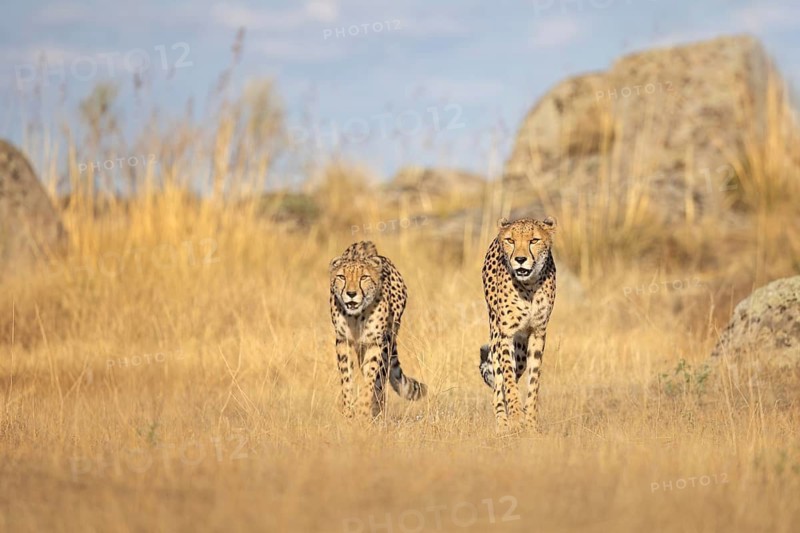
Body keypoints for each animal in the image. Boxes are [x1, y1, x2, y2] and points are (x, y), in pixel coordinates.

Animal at [329, 241, 427, 419]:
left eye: (364, 277)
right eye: (341, 277)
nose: (351, 293)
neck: (356, 316)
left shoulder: (375, 342)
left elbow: (370, 379)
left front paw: (363, 411)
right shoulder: (342, 340)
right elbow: (346, 379)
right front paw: (349, 412)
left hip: (388, 340)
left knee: (381, 378)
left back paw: (377, 410)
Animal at [479, 216, 557, 431]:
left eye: (534, 240)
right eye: (510, 240)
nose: (520, 259)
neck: (529, 286)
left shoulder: (538, 332)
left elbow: (534, 381)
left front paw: (530, 421)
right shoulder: (505, 334)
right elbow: (507, 376)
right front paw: (514, 417)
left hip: (521, 350)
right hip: (495, 334)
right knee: (498, 382)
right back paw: (502, 423)